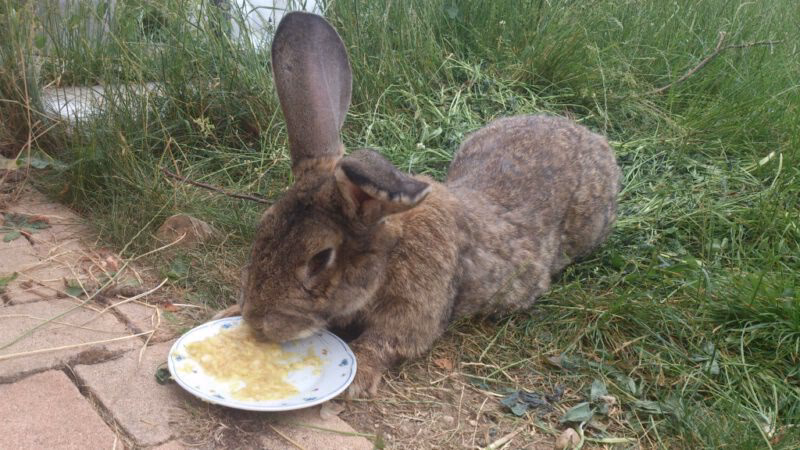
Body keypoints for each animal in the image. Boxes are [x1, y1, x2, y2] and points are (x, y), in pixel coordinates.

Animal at [214, 11, 621, 398]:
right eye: (262, 228)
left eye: (320, 258)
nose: (257, 321)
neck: (391, 250)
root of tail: (592, 139)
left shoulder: (413, 309)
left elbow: (388, 341)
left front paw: (359, 373)